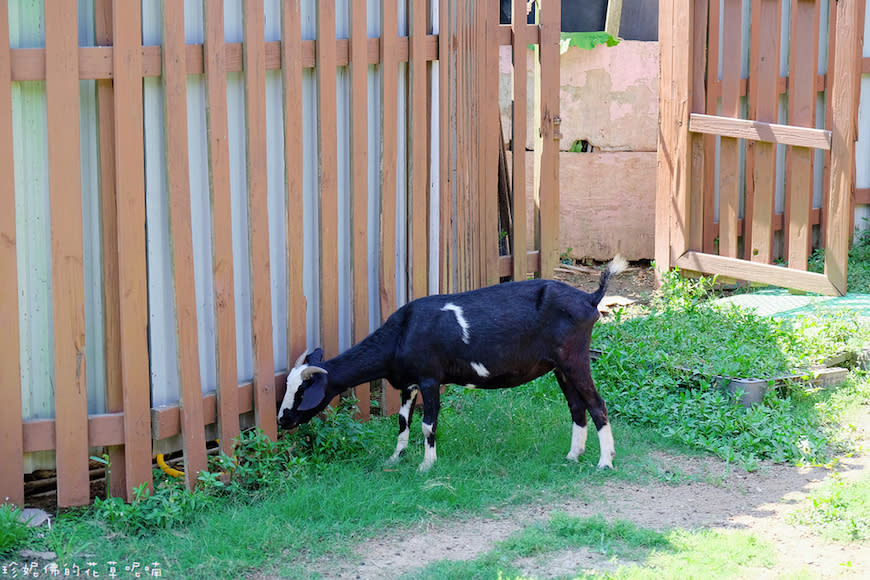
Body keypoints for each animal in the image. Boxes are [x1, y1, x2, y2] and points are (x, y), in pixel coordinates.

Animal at [280, 258, 628, 472]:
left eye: (303, 392)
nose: (282, 420)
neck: (402, 332)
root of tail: (590, 299)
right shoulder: (408, 382)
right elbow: (403, 422)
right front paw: (395, 457)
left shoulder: (430, 378)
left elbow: (427, 423)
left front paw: (426, 465)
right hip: (559, 367)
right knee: (576, 407)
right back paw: (572, 456)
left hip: (574, 359)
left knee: (597, 404)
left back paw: (605, 461)